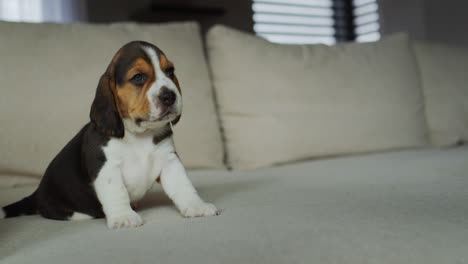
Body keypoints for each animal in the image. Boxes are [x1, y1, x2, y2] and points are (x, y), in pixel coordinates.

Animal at [1, 41, 218, 229]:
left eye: (170, 71)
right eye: (138, 77)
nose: (169, 96)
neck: (139, 135)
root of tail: (36, 194)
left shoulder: (169, 160)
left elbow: (183, 185)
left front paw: (197, 206)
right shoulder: (105, 166)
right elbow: (116, 192)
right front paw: (124, 217)